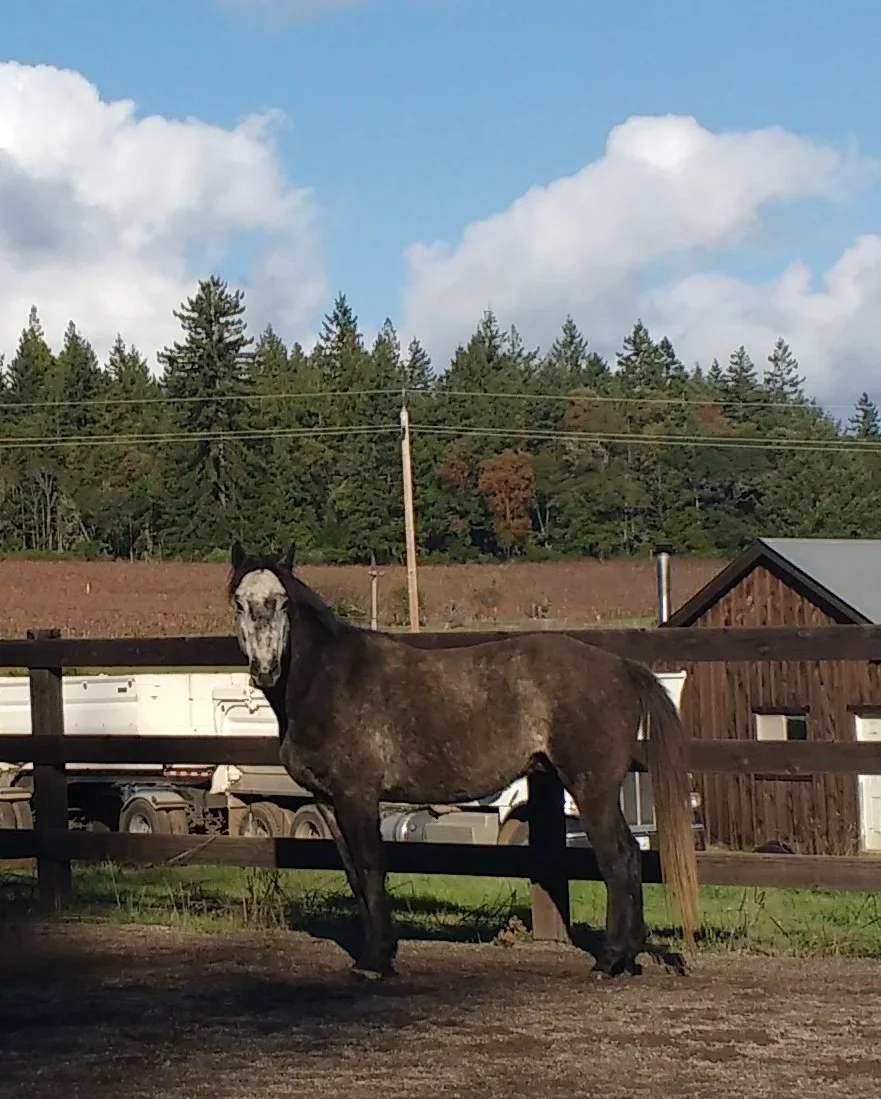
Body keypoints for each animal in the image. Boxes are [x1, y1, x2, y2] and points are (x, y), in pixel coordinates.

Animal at [227, 541, 700, 981]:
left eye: (283, 602)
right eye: (238, 602)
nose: (265, 670)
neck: (330, 680)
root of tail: (622, 667)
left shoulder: (357, 796)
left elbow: (371, 866)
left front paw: (377, 960)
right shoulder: (328, 801)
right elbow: (353, 873)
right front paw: (372, 954)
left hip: (591, 787)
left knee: (618, 858)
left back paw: (611, 960)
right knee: (629, 858)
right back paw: (628, 958)